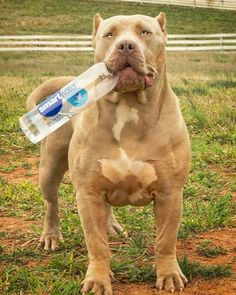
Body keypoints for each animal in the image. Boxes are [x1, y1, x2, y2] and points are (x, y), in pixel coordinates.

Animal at [26, 12, 191, 294]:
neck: (129, 106)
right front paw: (98, 280)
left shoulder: (170, 193)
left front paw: (169, 273)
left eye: (145, 32)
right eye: (110, 34)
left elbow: (165, 240)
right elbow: (96, 243)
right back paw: (51, 236)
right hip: (50, 168)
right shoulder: (88, 193)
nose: (125, 45)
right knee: (51, 203)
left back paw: (111, 224)